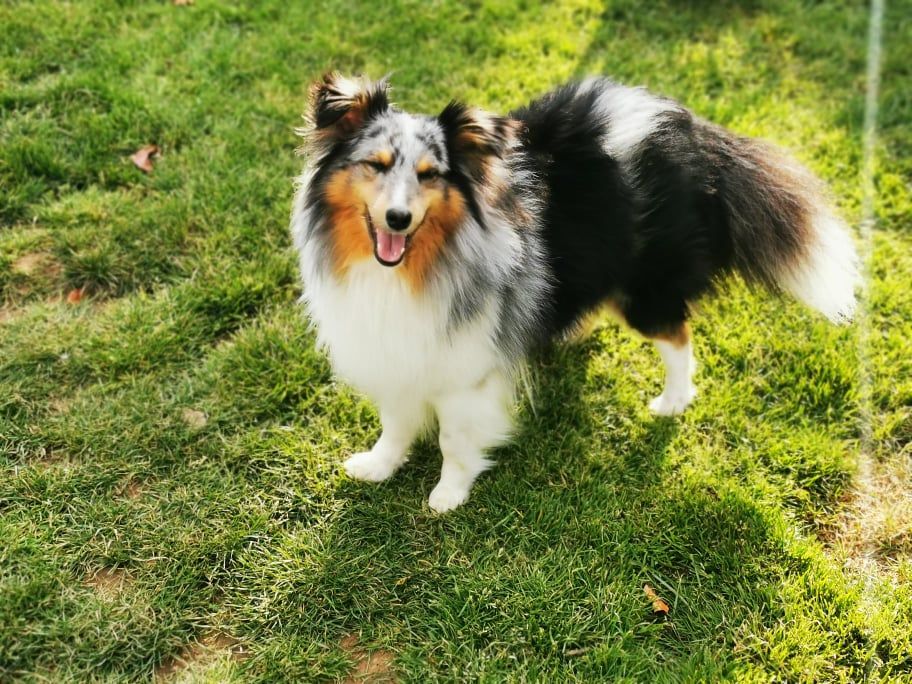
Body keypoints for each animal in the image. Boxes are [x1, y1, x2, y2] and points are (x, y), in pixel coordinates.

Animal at [288, 75, 860, 512]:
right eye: (377, 164)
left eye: (430, 175)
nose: (398, 219)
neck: (413, 267)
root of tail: (688, 132)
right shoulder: (397, 346)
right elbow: (396, 421)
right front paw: (378, 465)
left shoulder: (466, 367)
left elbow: (453, 437)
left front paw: (449, 493)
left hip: (644, 289)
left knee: (678, 335)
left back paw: (673, 400)